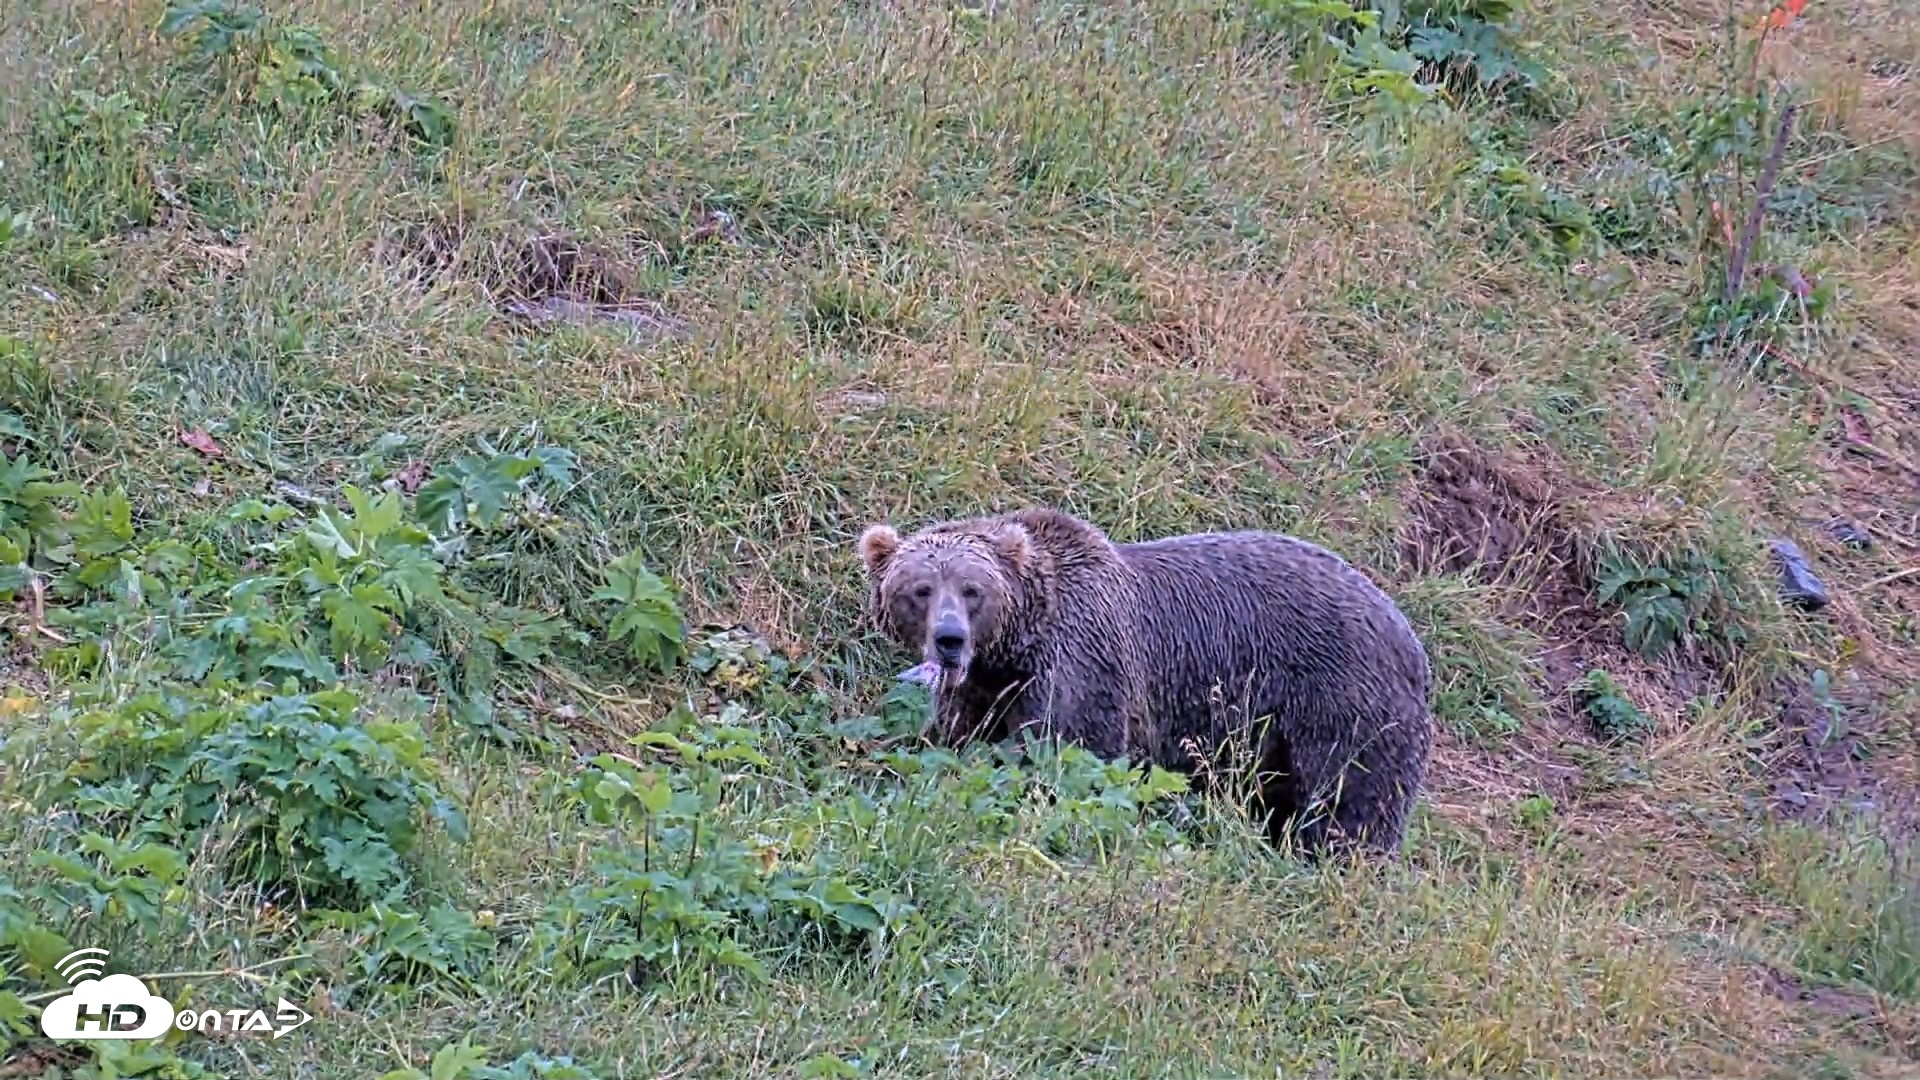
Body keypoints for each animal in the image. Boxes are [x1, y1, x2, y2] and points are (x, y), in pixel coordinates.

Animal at [856, 506, 1435, 859]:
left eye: (973, 589)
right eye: (921, 589)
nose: (950, 640)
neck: (1016, 646)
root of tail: (1405, 627)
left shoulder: (1084, 662)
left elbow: (1067, 752)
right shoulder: (985, 688)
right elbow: (963, 740)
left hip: (1339, 693)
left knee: (1350, 795)